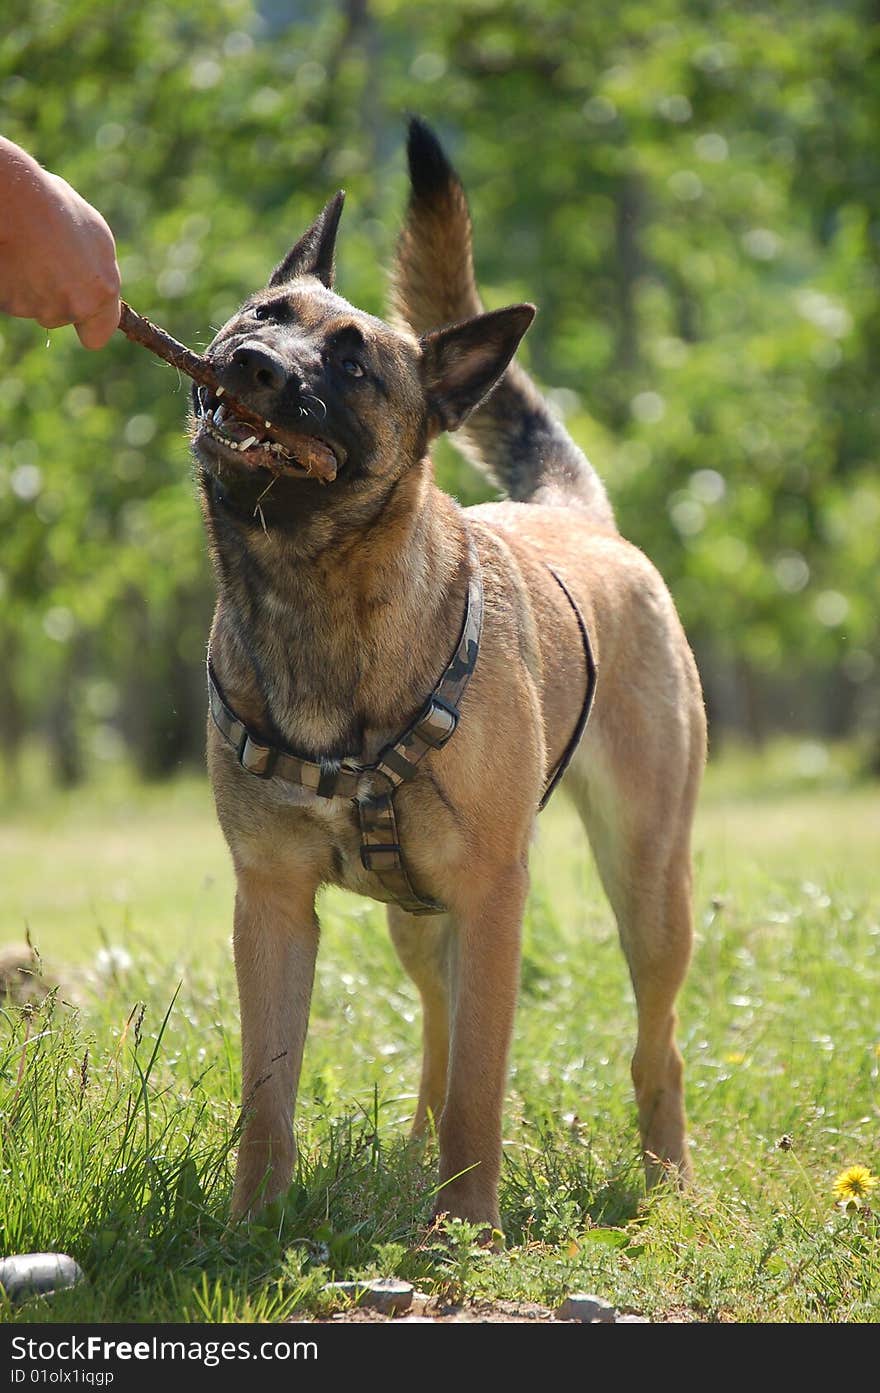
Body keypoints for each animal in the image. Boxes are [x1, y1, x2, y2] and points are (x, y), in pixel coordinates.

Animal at [192, 122, 707, 1231]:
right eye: (264, 314)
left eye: (353, 361)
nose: (250, 364)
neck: (318, 597)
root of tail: (579, 517)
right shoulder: (273, 907)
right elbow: (268, 1094)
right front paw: (253, 1226)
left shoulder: (492, 898)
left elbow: (481, 1085)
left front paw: (466, 1230)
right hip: (414, 919)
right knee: (434, 1036)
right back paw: (409, 1158)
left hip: (647, 888)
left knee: (656, 1047)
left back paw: (666, 1181)